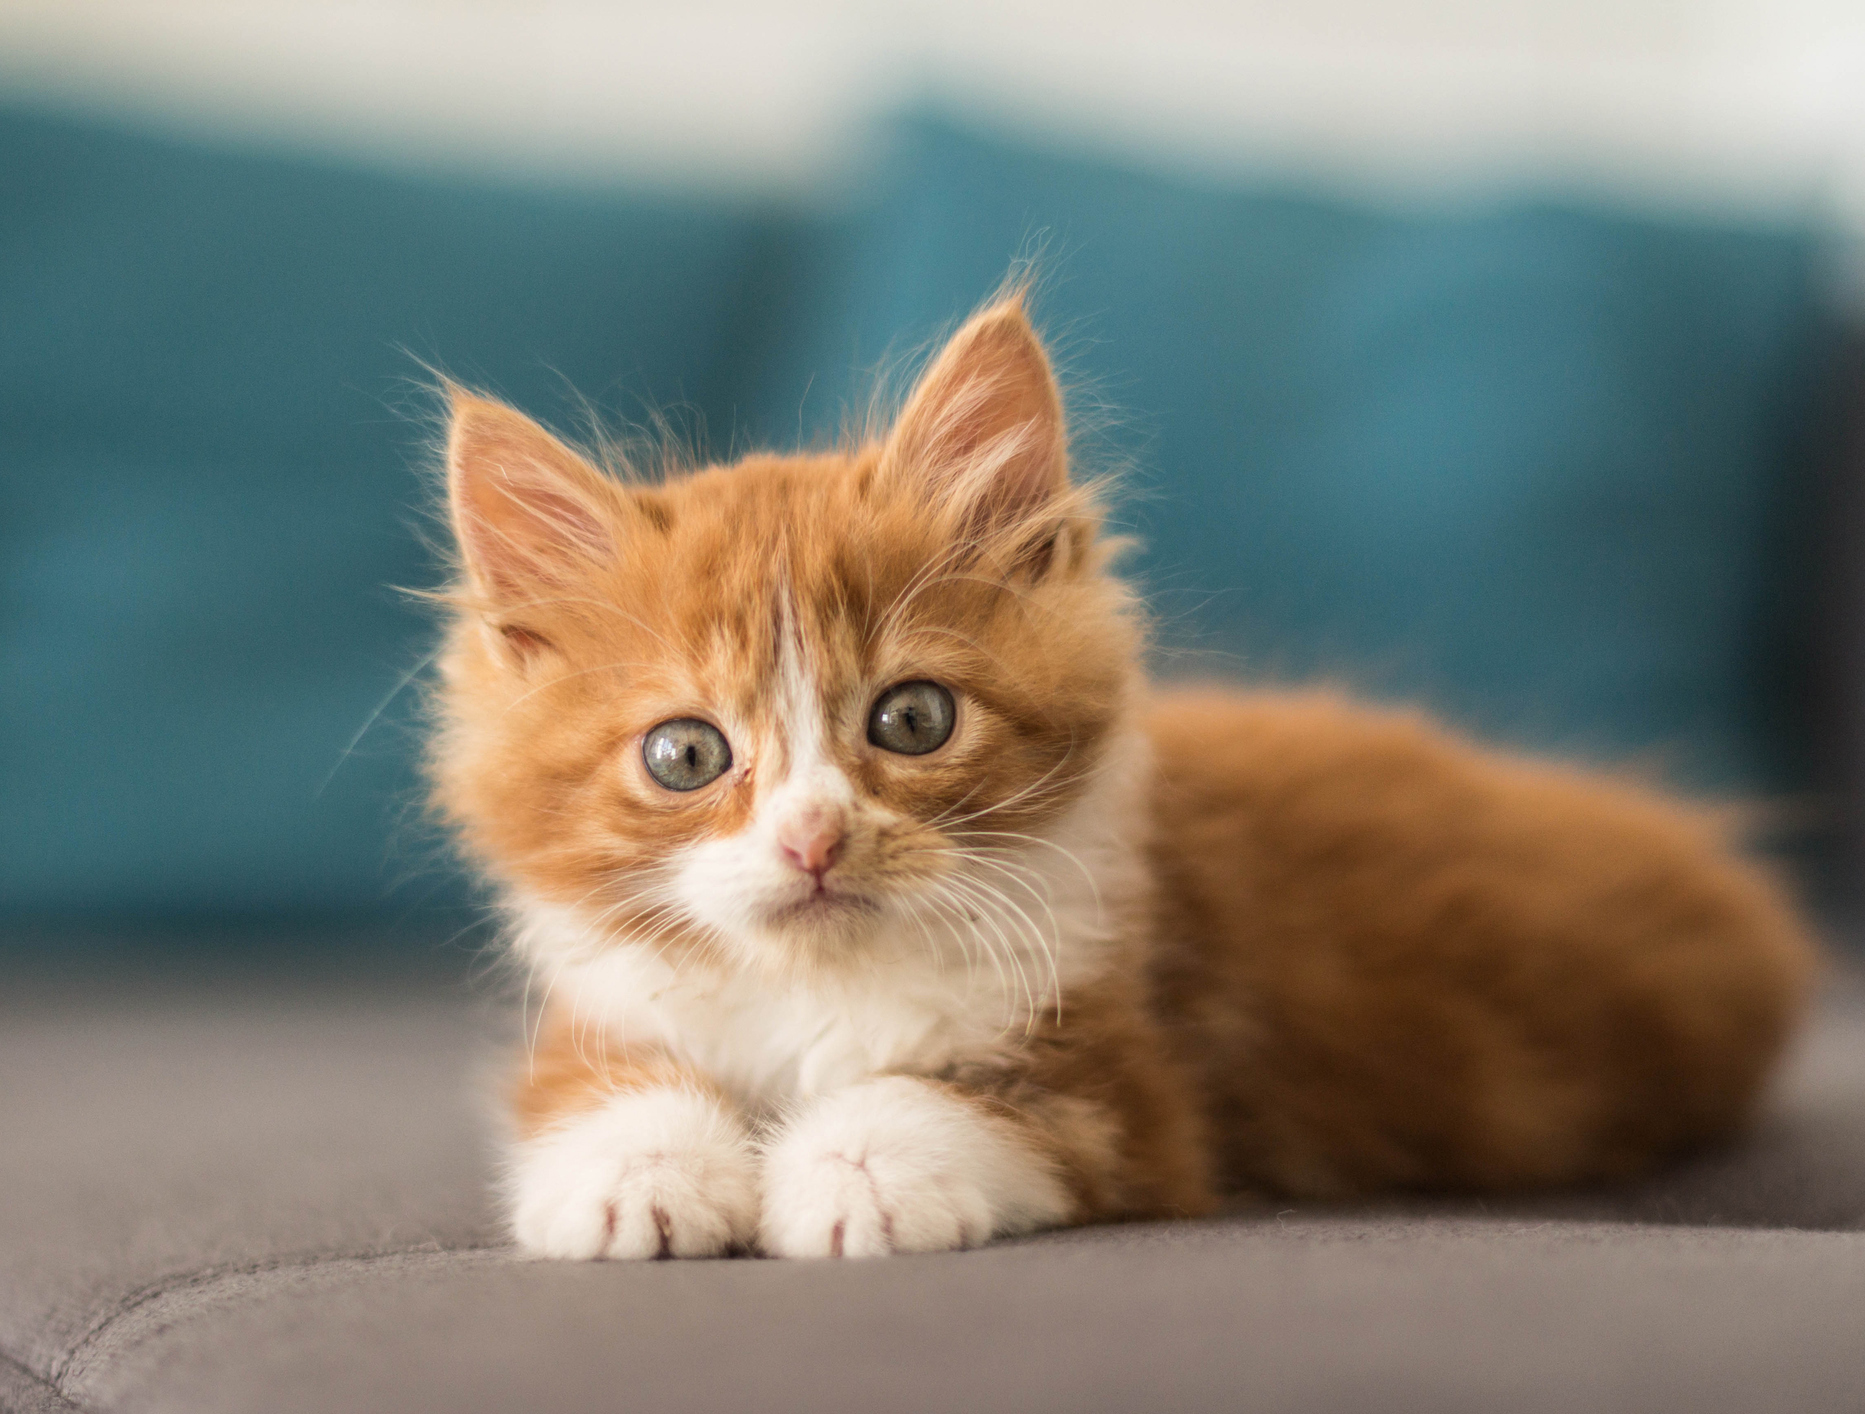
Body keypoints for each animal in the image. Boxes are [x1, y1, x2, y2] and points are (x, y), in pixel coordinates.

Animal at [428, 292, 1812, 1253]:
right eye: (685, 753)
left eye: (911, 719)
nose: (812, 838)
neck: (819, 989)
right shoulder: (605, 1006)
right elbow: (595, 1087)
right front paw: (635, 1176)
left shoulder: (1126, 1081)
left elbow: (951, 1099)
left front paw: (850, 1176)